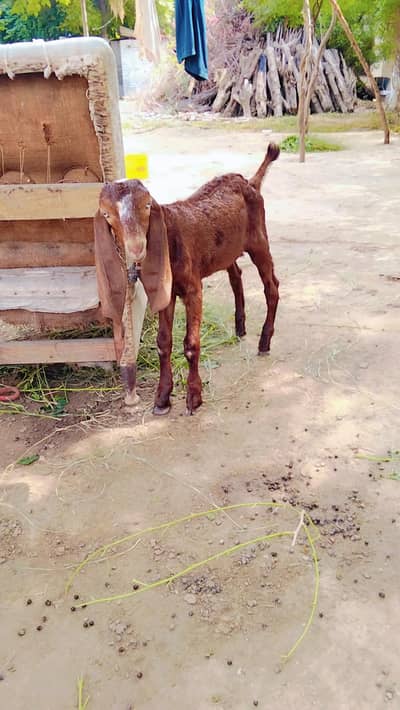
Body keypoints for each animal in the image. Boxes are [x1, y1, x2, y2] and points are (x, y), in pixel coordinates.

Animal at [95, 143, 280, 414]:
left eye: (147, 206)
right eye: (107, 215)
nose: (137, 247)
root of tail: (250, 182)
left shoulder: (193, 288)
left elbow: (191, 343)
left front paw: (194, 396)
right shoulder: (166, 292)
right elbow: (163, 342)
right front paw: (162, 398)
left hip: (259, 240)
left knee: (272, 287)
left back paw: (265, 341)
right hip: (227, 249)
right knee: (236, 276)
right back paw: (240, 327)